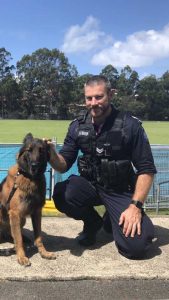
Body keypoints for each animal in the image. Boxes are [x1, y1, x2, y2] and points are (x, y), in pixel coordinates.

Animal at [0, 132, 56, 266]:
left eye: (41, 151)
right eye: (29, 150)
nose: (35, 165)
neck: (30, 179)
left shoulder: (36, 212)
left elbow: (38, 237)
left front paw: (44, 252)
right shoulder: (15, 213)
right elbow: (18, 239)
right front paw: (21, 256)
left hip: (22, 220)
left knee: (11, 234)